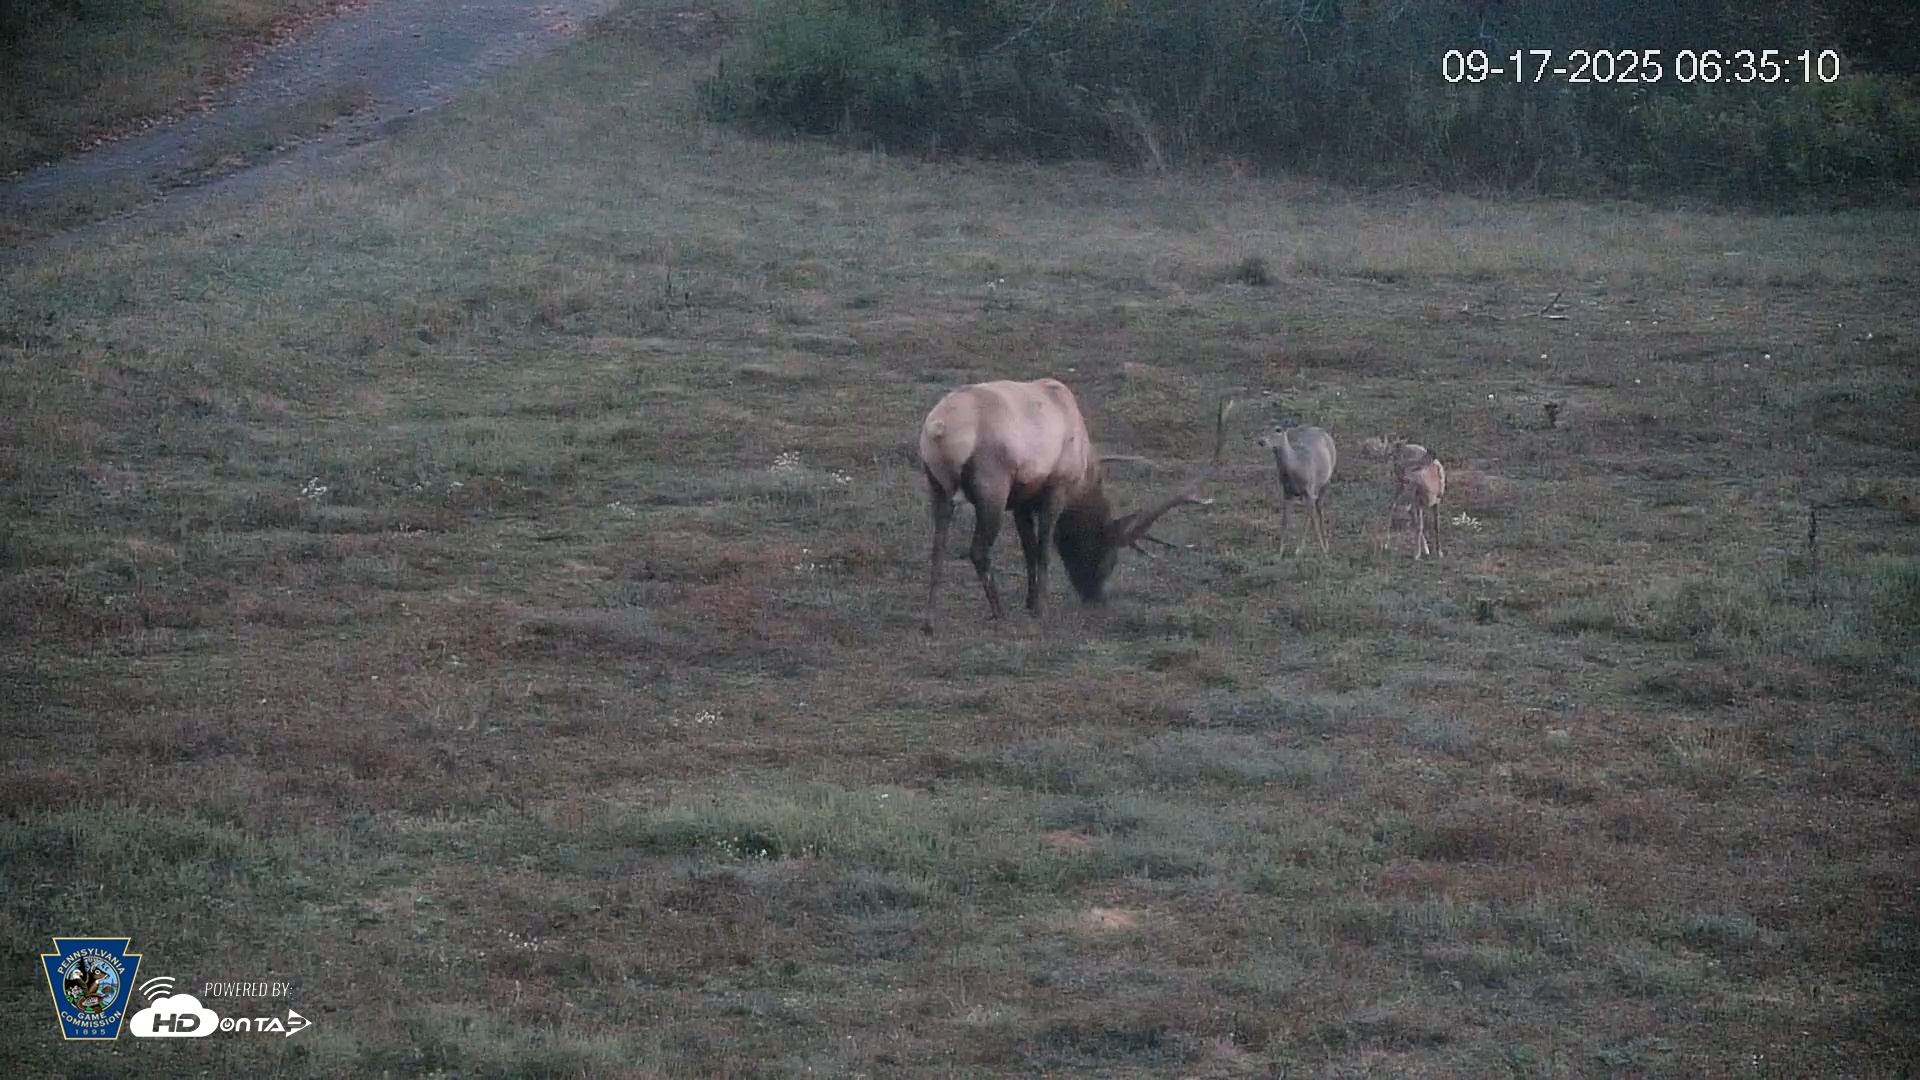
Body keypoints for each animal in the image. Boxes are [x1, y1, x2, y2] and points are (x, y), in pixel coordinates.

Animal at [917, 379, 1233, 634]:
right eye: (1109, 555)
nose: (1096, 597)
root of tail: (937, 430)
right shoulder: (1055, 489)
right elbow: (1044, 550)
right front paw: (1040, 608)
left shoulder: (1021, 500)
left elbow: (1029, 549)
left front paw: (1030, 601)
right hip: (992, 486)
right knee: (978, 550)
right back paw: (999, 612)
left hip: (937, 485)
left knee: (937, 545)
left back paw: (929, 620)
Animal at [1256, 417, 1337, 556]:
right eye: (1263, 428)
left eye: (1278, 429)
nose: (1261, 441)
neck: (1296, 466)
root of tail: (1321, 430)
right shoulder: (1286, 492)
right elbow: (1285, 520)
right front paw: (1280, 550)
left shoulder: (1309, 491)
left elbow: (1306, 521)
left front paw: (1299, 550)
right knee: (1315, 509)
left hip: (1326, 479)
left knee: (1319, 507)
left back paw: (1325, 545)